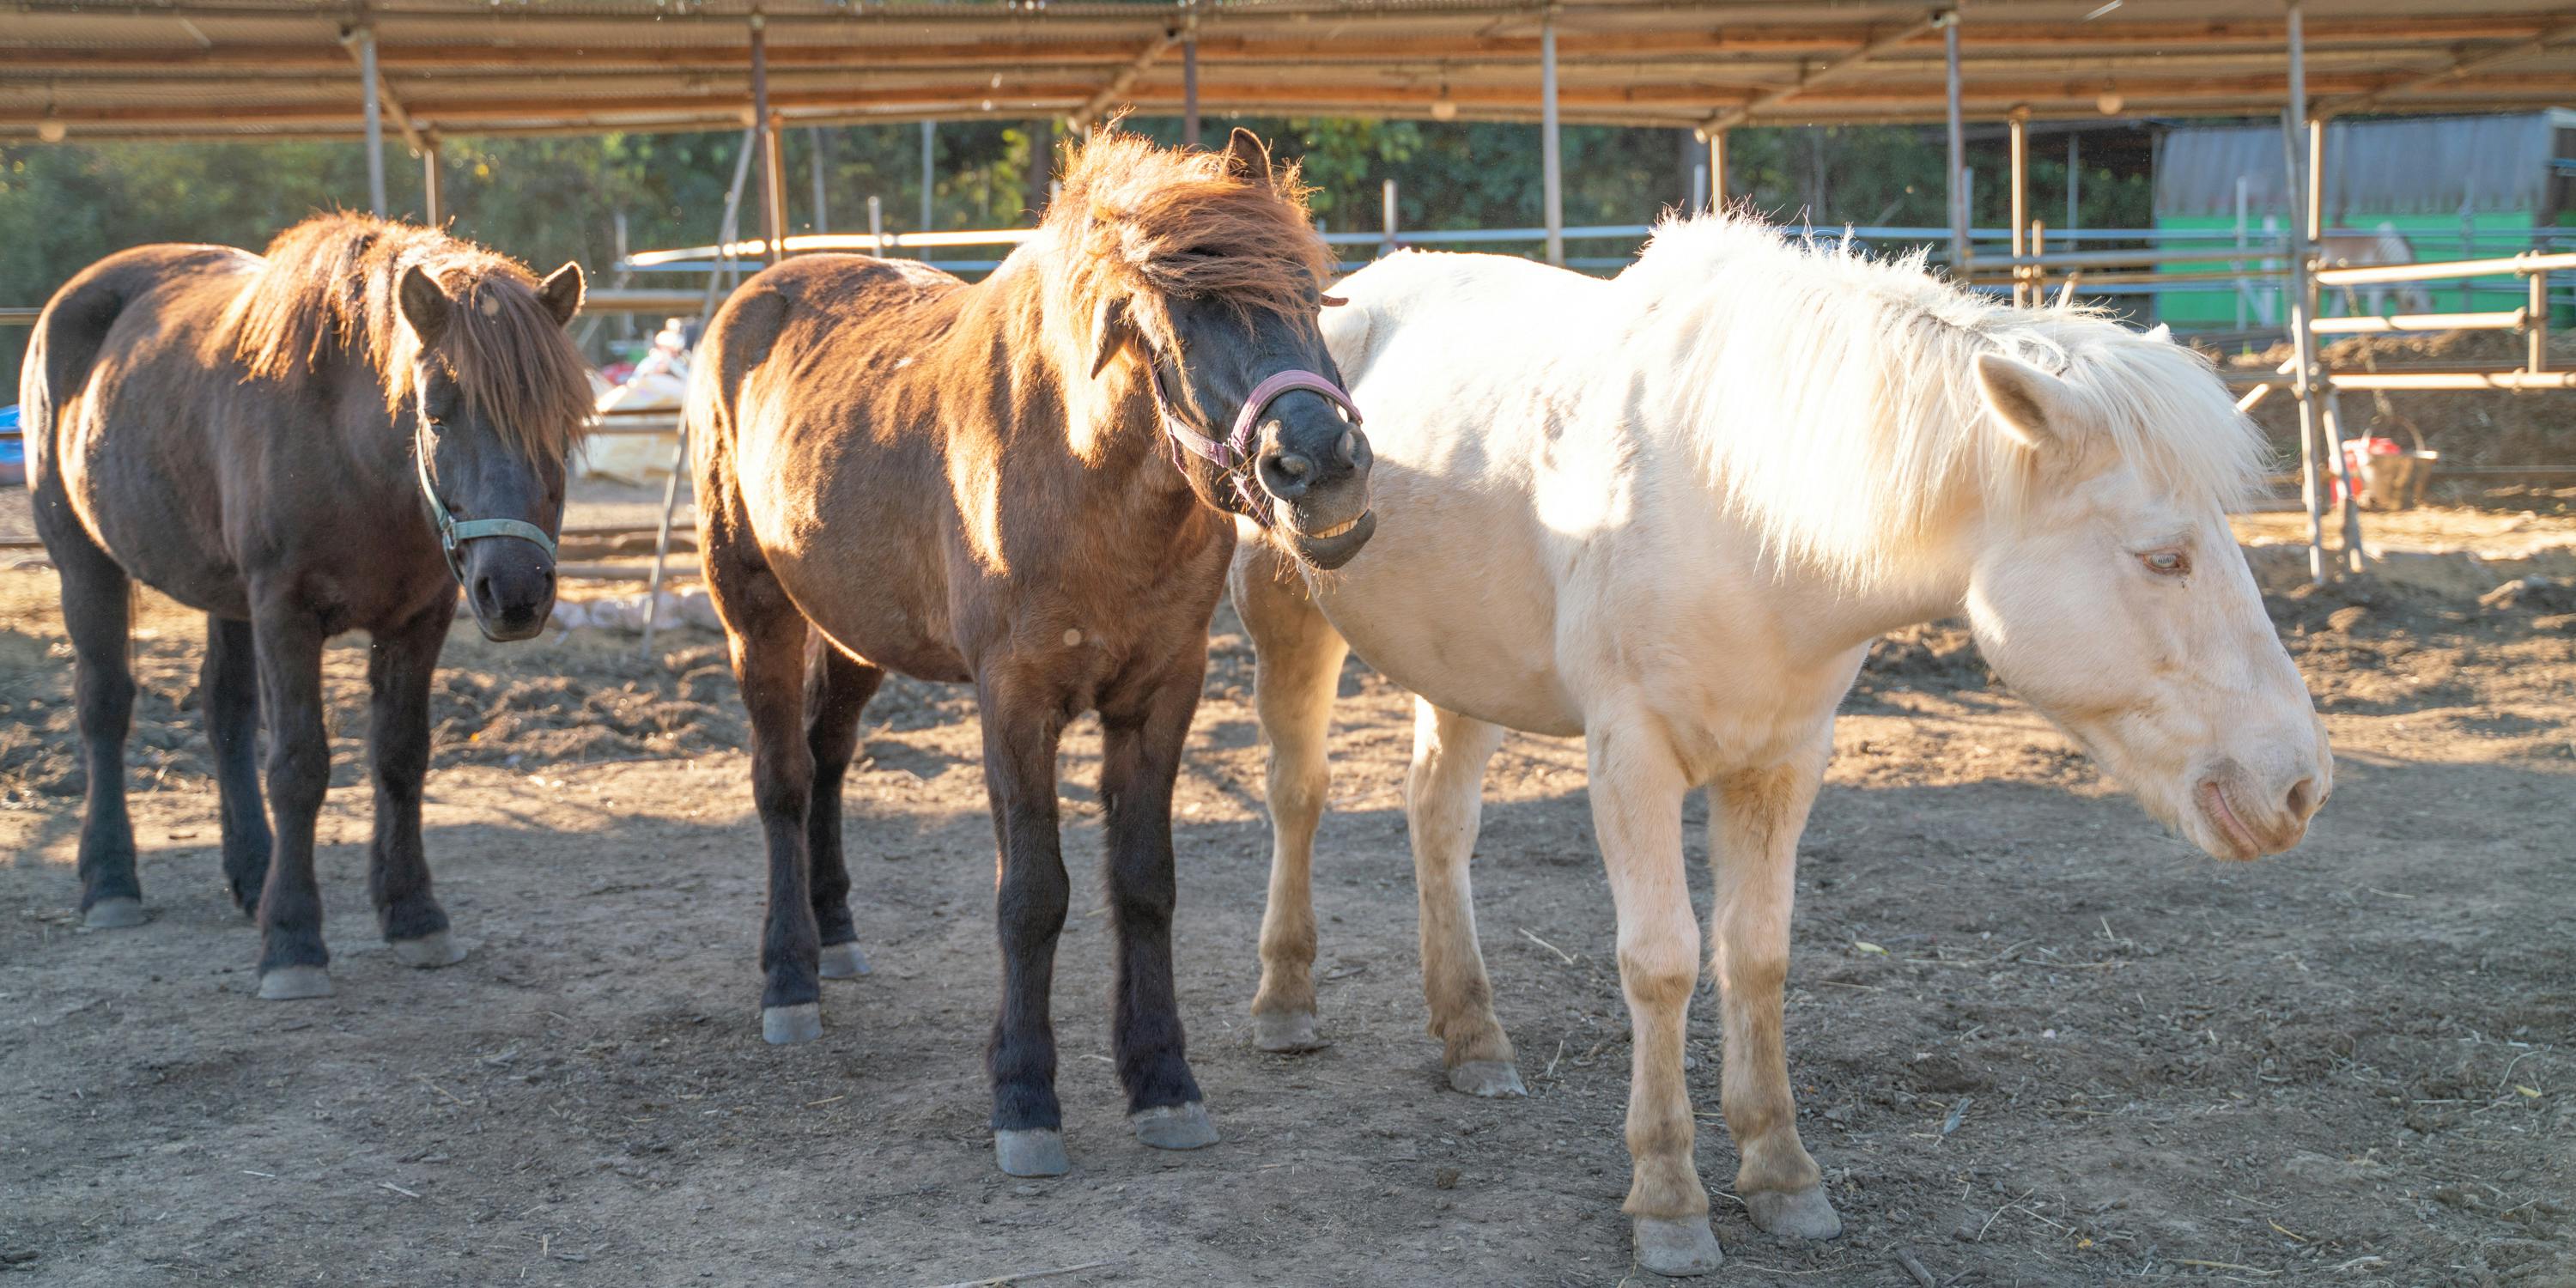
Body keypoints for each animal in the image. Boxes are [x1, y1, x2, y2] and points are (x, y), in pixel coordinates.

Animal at [23, 211, 590, 999]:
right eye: (436, 413)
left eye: (562, 419)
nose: (516, 592)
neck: (352, 456)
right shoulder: (284, 613)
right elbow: (298, 766)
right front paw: (292, 940)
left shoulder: (420, 618)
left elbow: (401, 757)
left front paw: (413, 914)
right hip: (86, 566)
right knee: (104, 706)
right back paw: (110, 883)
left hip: (224, 595)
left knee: (224, 710)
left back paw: (252, 871)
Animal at [680, 125, 1370, 1175]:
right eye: (1181, 318)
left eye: (1306, 289)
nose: (1322, 464)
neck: (1084, 477)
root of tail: (754, 297)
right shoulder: (1014, 699)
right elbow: (1033, 895)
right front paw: (1024, 1098)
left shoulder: (1163, 693)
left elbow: (1145, 885)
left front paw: (1163, 1083)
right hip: (754, 612)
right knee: (783, 781)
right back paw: (790, 978)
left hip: (854, 628)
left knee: (828, 755)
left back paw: (835, 934)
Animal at [1226, 222, 2339, 1278]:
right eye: (2164, 558)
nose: (2299, 786)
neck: (1742, 504)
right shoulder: (1631, 760)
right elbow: (1662, 964)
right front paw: (1669, 1199)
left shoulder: (1785, 760)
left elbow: (1756, 956)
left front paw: (1781, 1174)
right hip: (1289, 620)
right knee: (1298, 794)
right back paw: (1284, 1002)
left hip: (1462, 672)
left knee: (1439, 824)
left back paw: (1472, 1037)